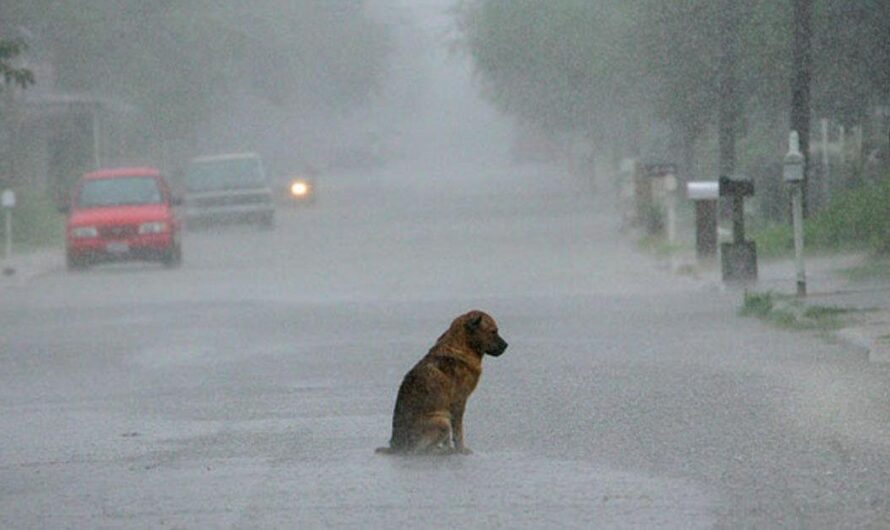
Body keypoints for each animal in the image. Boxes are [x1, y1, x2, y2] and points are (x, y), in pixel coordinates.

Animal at [374, 310, 506, 454]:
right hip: (442, 422)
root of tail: (396, 446)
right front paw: (461, 449)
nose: (506, 345)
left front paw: (451, 448)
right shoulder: (458, 402)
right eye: (493, 331)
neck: (462, 345)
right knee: (421, 450)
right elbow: (458, 432)